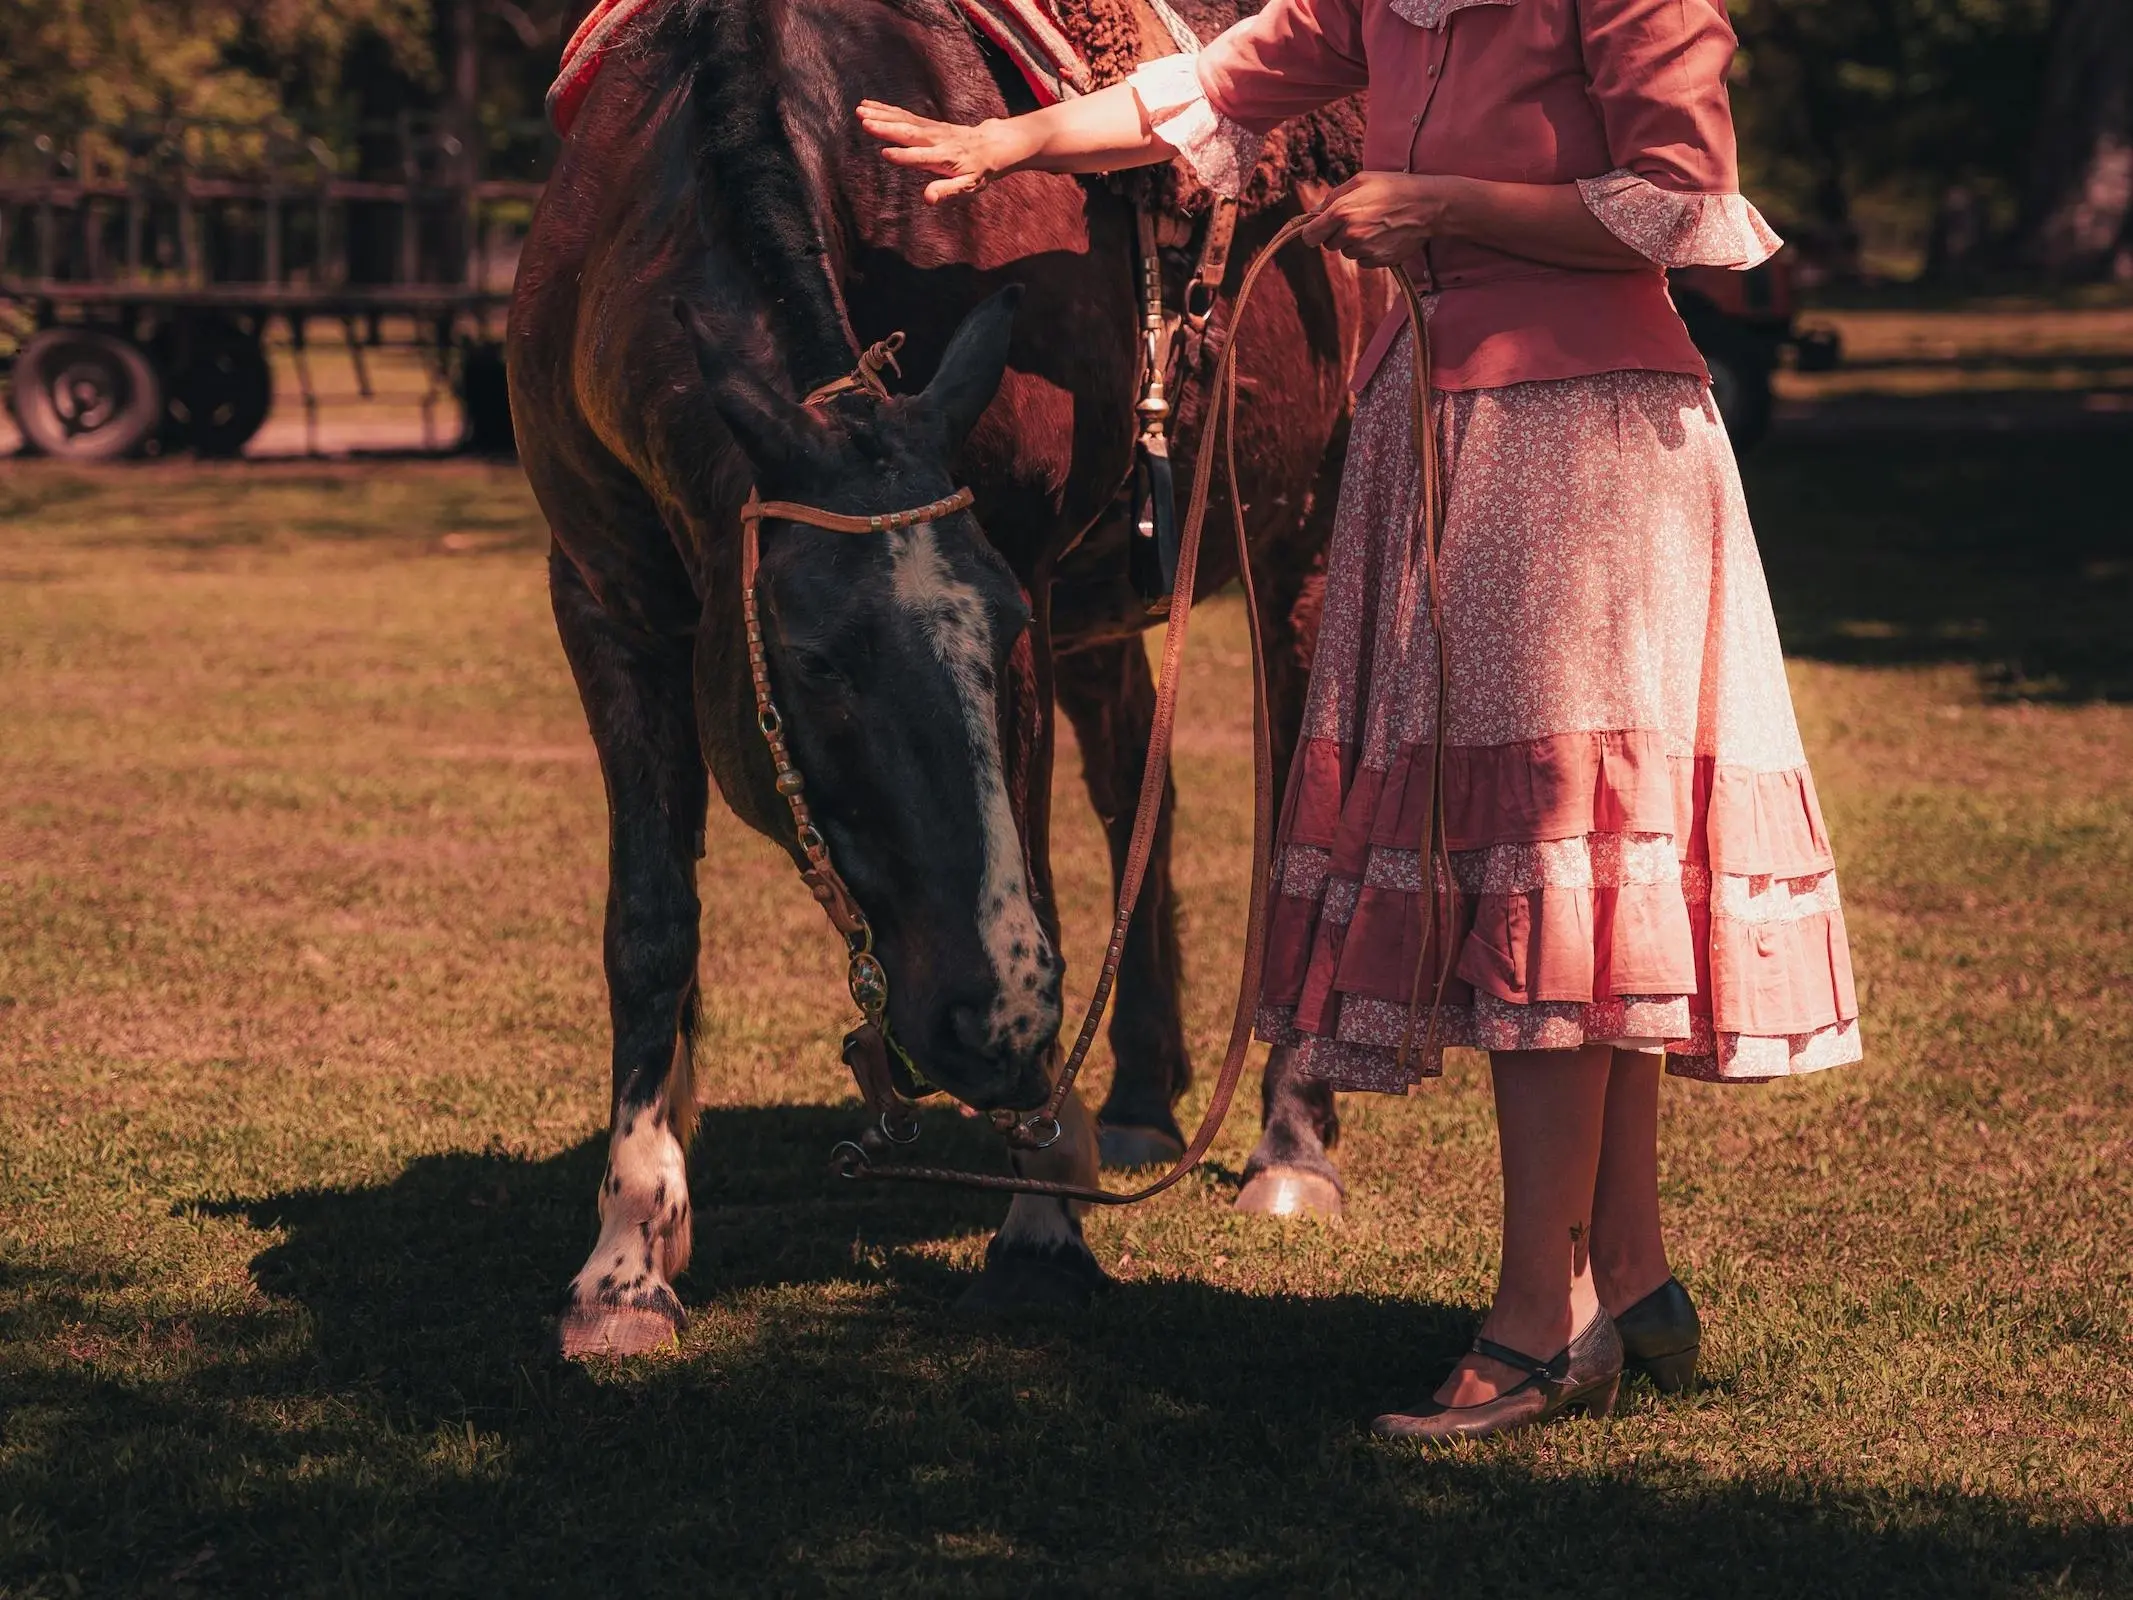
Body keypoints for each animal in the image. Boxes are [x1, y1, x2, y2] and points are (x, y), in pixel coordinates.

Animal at [516, 0, 1382, 1365]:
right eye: (814, 660)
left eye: (993, 622)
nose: (987, 1027)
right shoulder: (604, 597)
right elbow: (650, 925)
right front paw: (626, 1256)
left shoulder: (1020, 572)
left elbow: (1036, 878)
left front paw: (1039, 1228)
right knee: (1137, 796)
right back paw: (1136, 1099)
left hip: (1302, 548)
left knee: (1298, 802)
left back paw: (1290, 1141)